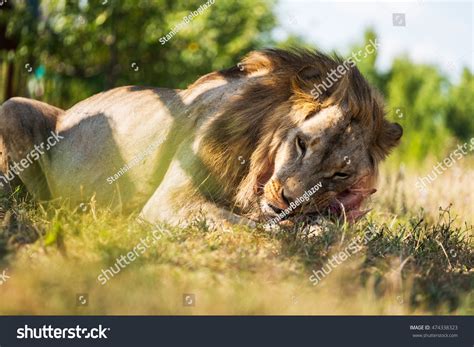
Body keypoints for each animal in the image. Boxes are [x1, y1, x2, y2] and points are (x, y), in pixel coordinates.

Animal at [0, 49, 400, 228]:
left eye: (340, 174)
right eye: (302, 143)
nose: (288, 199)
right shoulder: (168, 201)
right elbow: (249, 224)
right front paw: (291, 231)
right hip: (12, 106)